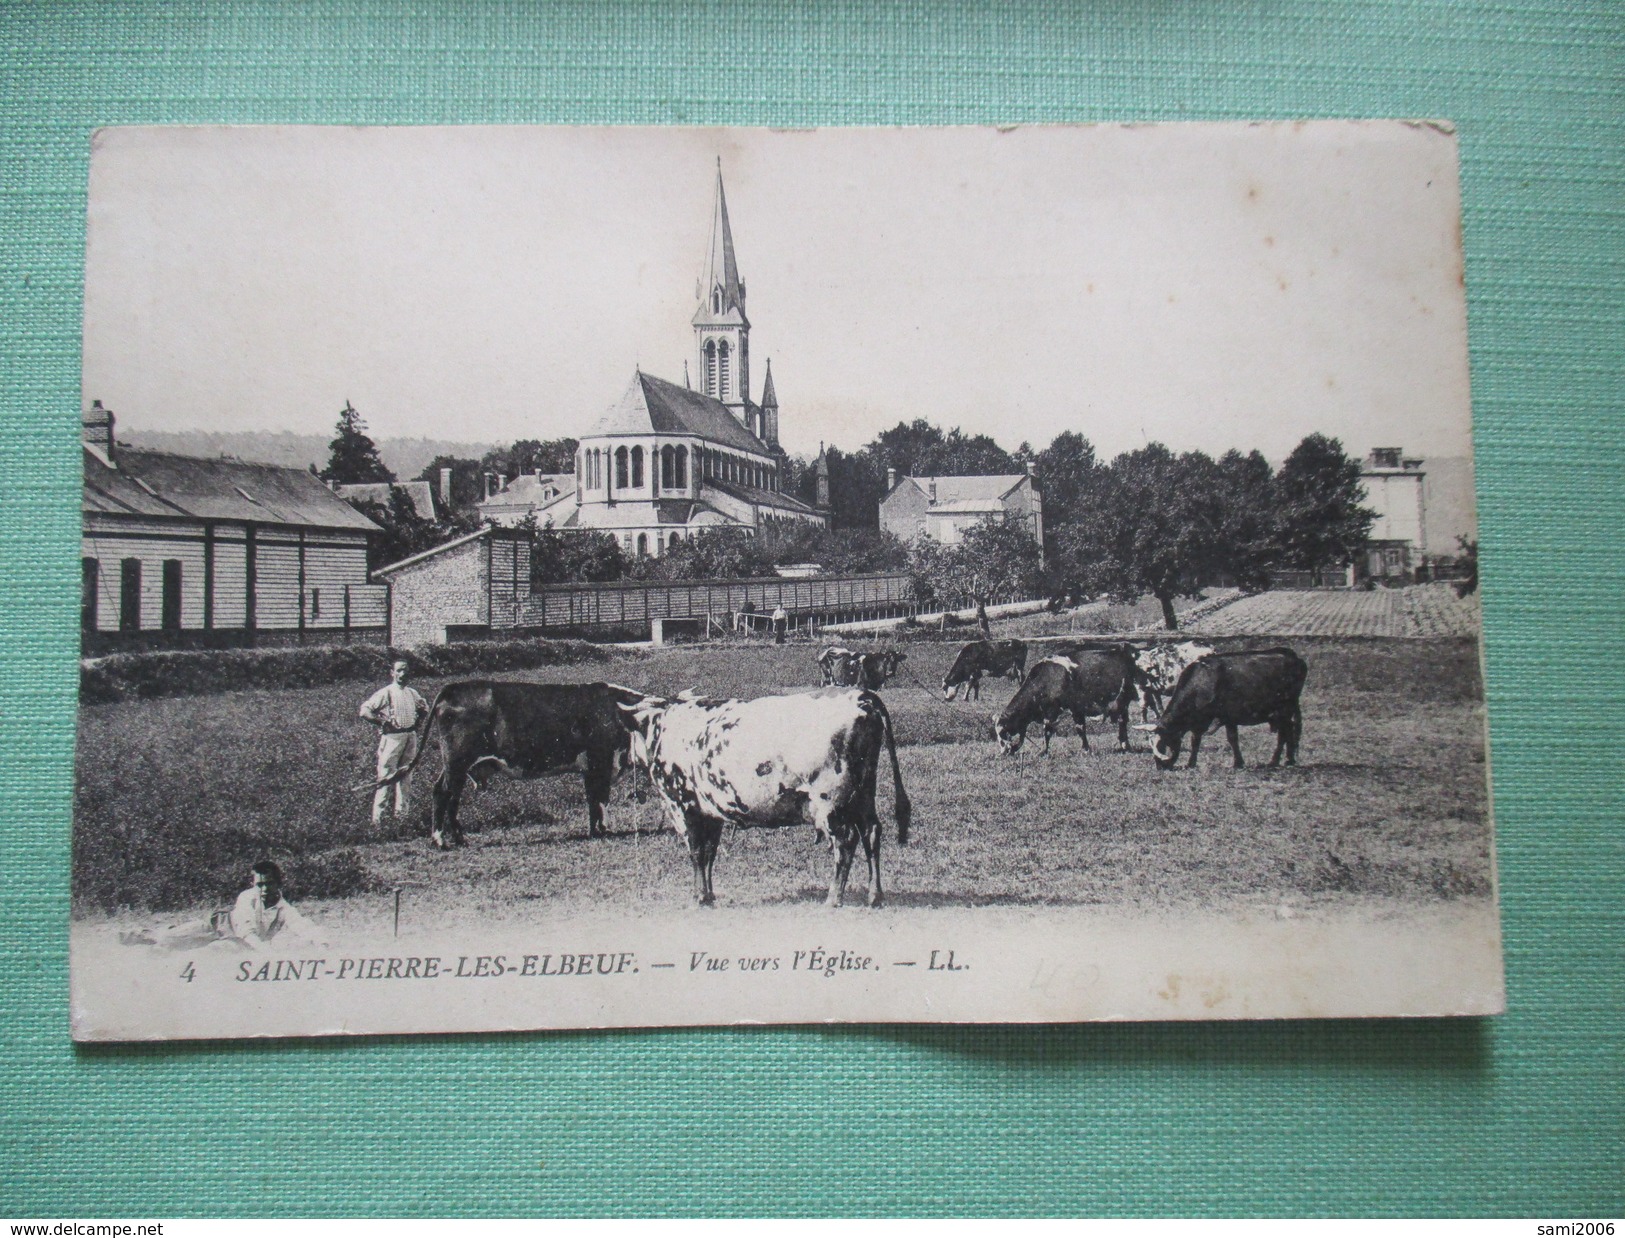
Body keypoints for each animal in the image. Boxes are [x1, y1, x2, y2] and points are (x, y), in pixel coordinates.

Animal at [365, 675, 643, 851]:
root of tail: (453, 688)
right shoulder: (600, 762)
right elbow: (600, 799)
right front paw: (604, 830)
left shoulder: (591, 767)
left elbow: (593, 800)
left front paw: (596, 830)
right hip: (456, 760)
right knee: (442, 793)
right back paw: (440, 841)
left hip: (458, 766)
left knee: (452, 796)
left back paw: (460, 839)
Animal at [614, 685, 910, 909]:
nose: (619, 762)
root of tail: (861, 695)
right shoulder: (712, 811)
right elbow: (709, 853)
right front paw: (709, 896)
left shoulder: (683, 806)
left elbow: (697, 852)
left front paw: (698, 897)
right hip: (863, 794)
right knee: (871, 832)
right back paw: (874, 896)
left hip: (831, 801)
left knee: (846, 840)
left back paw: (833, 897)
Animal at [988, 649, 1144, 757]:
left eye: (1003, 732)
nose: (1003, 752)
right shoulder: (1076, 709)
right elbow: (1080, 729)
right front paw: (1085, 749)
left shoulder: (1052, 712)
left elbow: (1047, 731)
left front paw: (1043, 751)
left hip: (1125, 700)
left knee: (1123, 722)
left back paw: (1126, 746)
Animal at [1157, 640, 1306, 766]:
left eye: (1163, 743)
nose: (1160, 765)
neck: (1201, 682)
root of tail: (1292, 655)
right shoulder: (1207, 720)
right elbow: (1197, 740)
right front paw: (1191, 763)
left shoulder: (1225, 716)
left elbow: (1231, 738)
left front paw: (1238, 762)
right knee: (1289, 730)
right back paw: (1288, 759)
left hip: (1284, 710)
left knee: (1284, 733)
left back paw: (1277, 761)